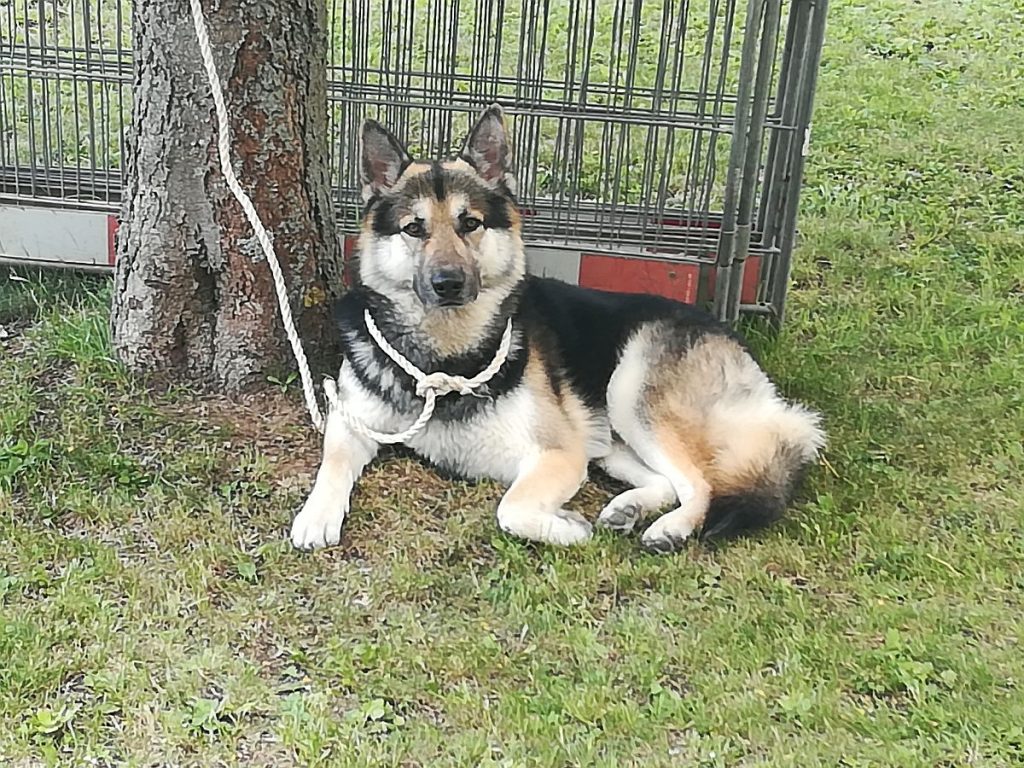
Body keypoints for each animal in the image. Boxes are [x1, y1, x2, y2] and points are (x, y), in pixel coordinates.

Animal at [286, 105, 823, 557]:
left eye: (469, 223)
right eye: (413, 229)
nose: (448, 283)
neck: (444, 357)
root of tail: (730, 337)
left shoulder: (559, 454)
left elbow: (511, 510)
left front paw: (567, 528)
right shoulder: (351, 421)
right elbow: (333, 461)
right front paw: (316, 515)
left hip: (631, 394)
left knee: (702, 483)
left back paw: (669, 528)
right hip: (610, 437)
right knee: (666, 481)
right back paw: (627, 508)